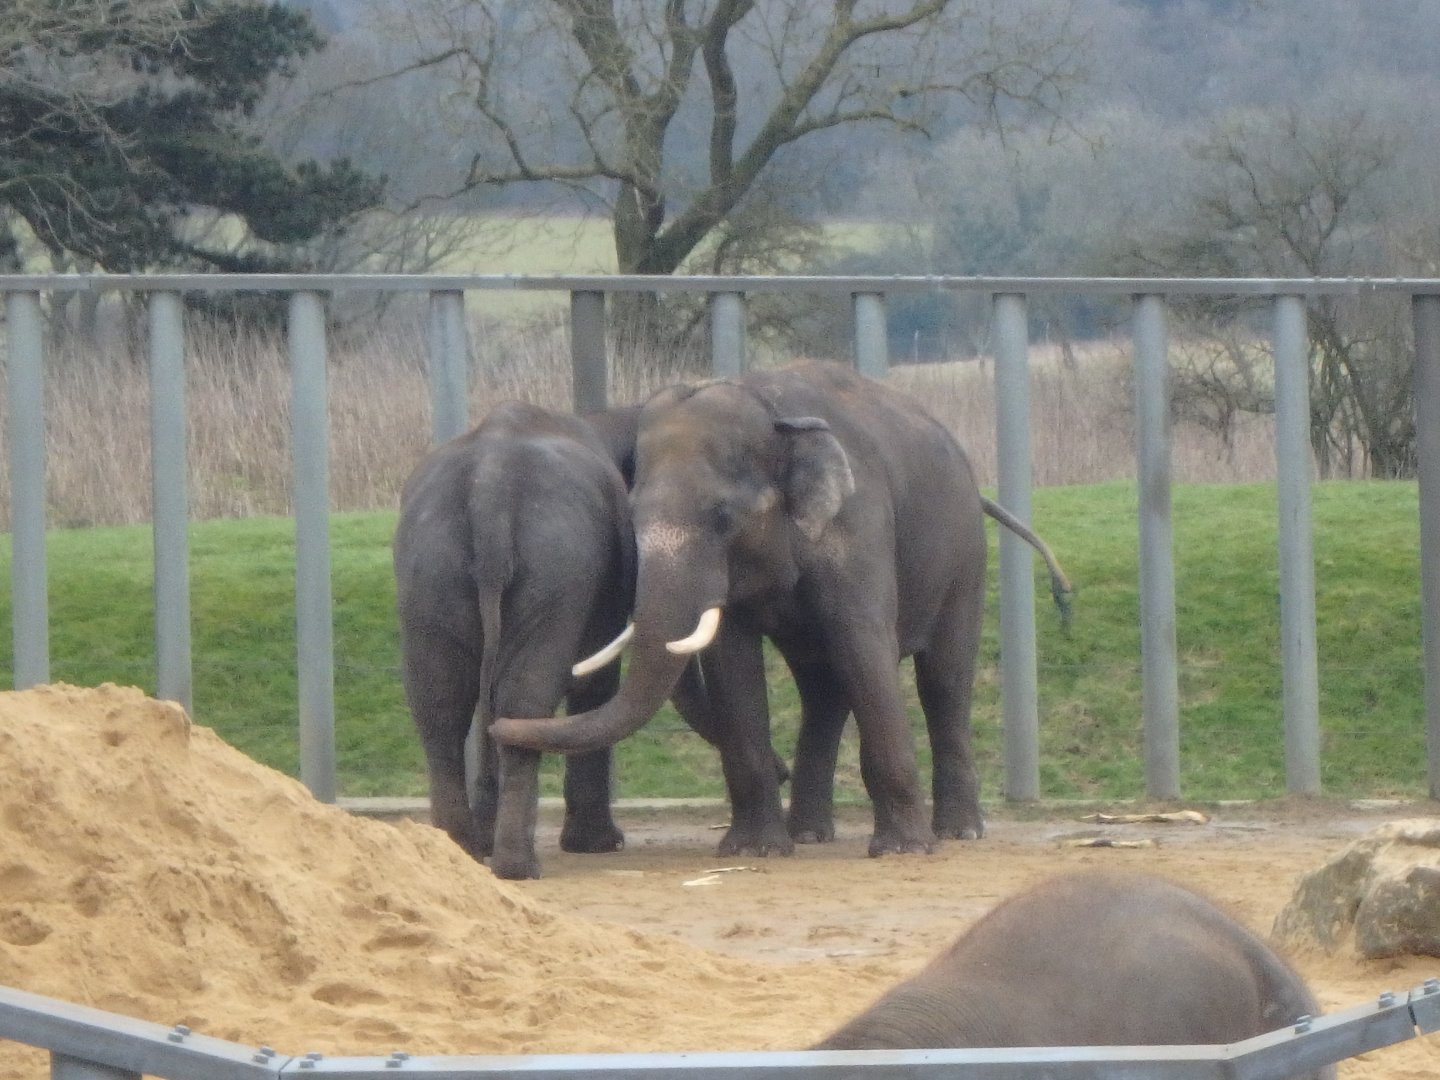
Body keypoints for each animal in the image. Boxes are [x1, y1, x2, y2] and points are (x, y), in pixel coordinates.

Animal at [393, 400, 739, 880]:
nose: (782, 773)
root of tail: (489, 489)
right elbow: (596, 680)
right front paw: (599, 845)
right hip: (552, 567)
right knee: (523, 697)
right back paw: (518, 866)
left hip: (430, 566)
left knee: (441, 704)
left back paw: (460, 852)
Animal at [493, 360, 1070, 858]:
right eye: (630, 516)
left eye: (723, 516)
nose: (500, 726)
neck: (769, 411)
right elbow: (732, 663)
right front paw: (754, 850)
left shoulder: (858, 523)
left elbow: (864, 647)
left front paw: (903, 851)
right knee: (823, 689)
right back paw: (809, 834)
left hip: (965, 559)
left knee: (943, 681)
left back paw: (958, 832)